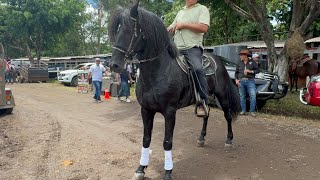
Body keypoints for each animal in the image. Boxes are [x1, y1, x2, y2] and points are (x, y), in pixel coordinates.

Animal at [109, 2, 239, 179]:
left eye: (129, 30)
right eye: (117, 31)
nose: (114, 65)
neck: (159, 71)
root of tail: (219, 61)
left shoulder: (170, 112)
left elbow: (167, 142)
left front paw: (168, 171)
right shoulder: (146, 110)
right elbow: (146, 139)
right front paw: (141, 169)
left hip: (222, 96)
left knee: (227, 115)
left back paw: (229, 141)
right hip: (205, 98)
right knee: (206, 114)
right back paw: (201, 138)